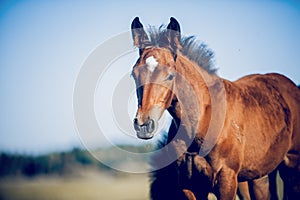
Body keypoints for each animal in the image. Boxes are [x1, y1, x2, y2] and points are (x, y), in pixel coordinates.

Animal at [129, 16, 300, 199]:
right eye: (134, 74)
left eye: (170, 75)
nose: (143, 125)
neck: (203, 120)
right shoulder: (189, 184)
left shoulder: (227, 178)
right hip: (260, 175)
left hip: (291, 165)